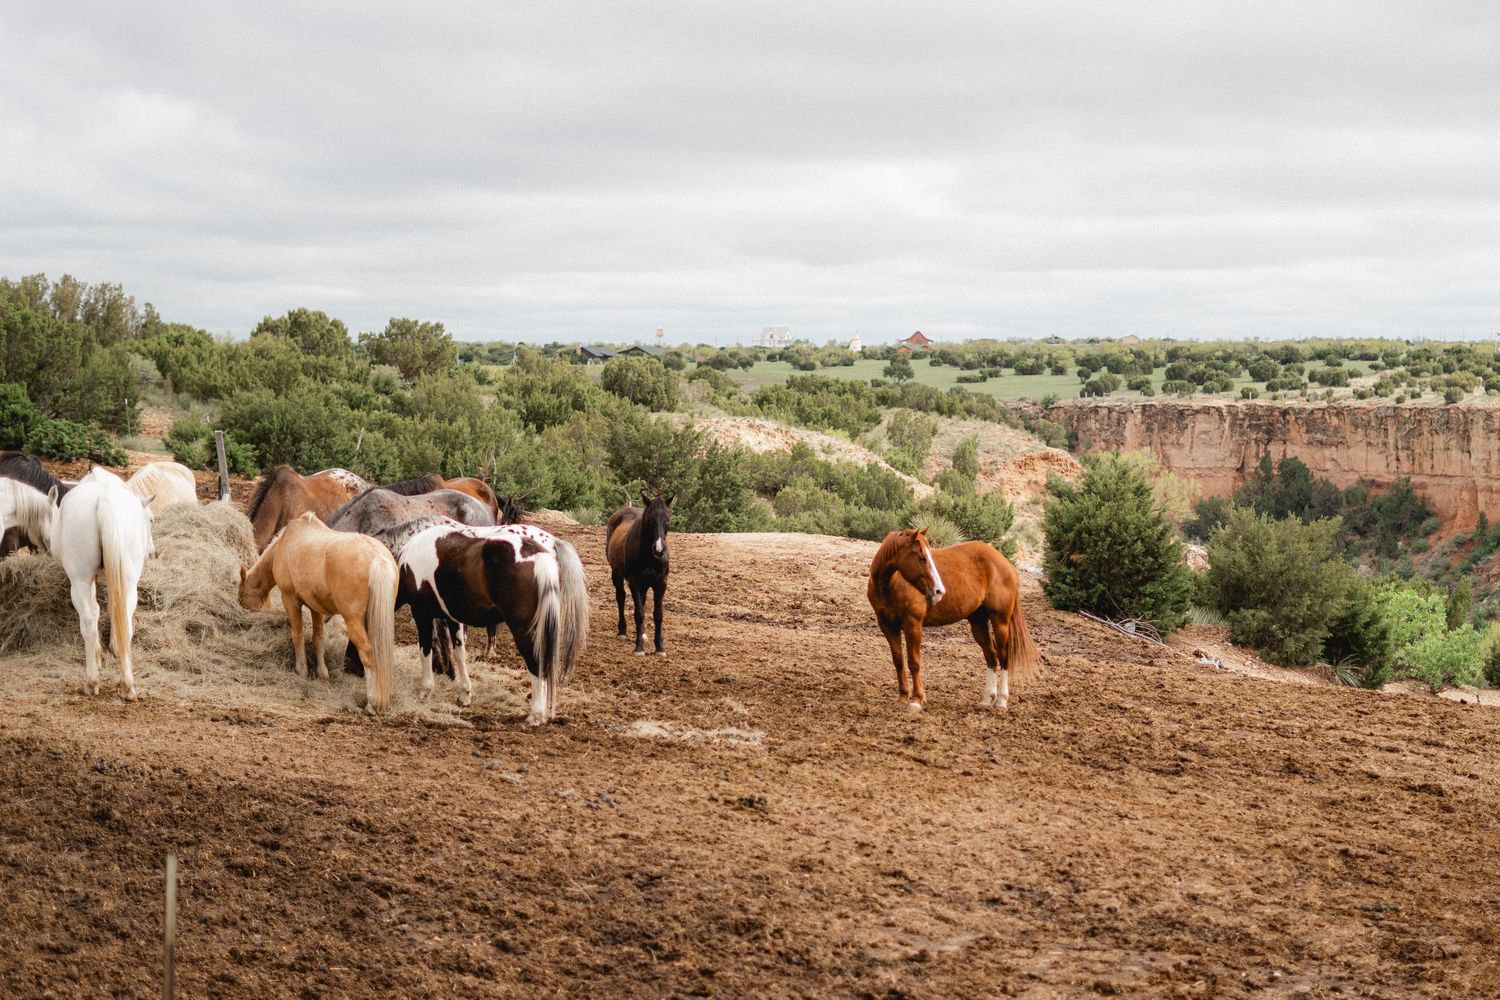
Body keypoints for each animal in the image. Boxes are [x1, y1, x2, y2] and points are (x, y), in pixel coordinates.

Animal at [46, 468, 155, 700]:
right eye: (151, 520)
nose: (152, 552)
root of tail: (105, 500)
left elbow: (96, 613)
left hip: (80, 581)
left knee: (88, 621)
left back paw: (92, 682)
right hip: (128, 581)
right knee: (125, 620)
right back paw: (127, 685)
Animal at [237, 512, 399, 713]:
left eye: (241, 597)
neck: (286, 542)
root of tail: (378, 558)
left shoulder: (290, 599)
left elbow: (297, 634)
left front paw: (301, 670)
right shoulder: (316, 607)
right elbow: (318, 637)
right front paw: (322, 674)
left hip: (353, 621)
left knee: (368, 654)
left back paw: (371, 703)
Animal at [398, 522, 588, 724]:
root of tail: (539, 555)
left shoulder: (422, 614)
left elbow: (425, 651)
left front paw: (425, 691)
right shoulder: (453, 619)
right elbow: (459, 654)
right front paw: (464, 694)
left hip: (525, 631)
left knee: (536, 663)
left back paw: (535, 715)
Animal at [605, 493, 672, 655]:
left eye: (667, 520)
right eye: (649, 520)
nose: (659, 550)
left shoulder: (661, 583)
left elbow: (658, 615)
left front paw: (660, 648)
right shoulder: (634, 582)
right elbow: (639, 613)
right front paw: (639, 647)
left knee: (643, 600)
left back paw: (643, 633)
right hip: (616, 574)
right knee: (621, 597)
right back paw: (623, 631)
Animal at [866, 528, 1041, 712]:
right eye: (922, 558)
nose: (939, 591)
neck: (891, 585)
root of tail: (1005, 563)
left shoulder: (912, 624)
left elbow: (914, 662)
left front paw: (916, 700)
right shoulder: (887, 626)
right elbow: (898, 661)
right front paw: (902, 697)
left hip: (1000, 622)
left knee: (1003, 656)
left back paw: (1001, 701)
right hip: (978, 623)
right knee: (991, 656)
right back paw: (987, 699)